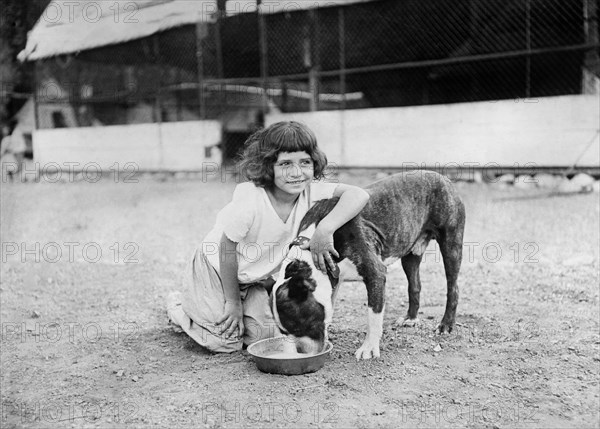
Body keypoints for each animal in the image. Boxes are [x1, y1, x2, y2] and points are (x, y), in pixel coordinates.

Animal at [270, 170, 464, 358]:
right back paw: (411, 318)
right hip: (410, 254)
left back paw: (446, 325)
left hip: (451, 244)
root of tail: (443, 178)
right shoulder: (335, 278)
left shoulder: (375, 274)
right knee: (414, 284)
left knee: (453, 286)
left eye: (300, 326)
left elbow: (373, 316)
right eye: (283, 332)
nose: (299, 351)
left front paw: (369, 348)